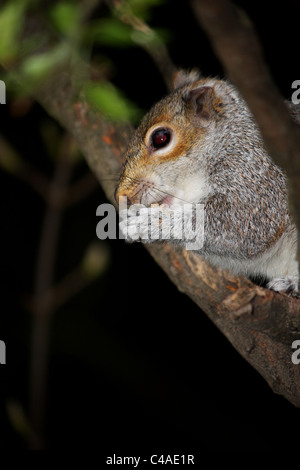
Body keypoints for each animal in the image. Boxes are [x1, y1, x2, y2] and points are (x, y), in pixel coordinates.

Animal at [114, 69, 298, 294]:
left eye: (160, 138)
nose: (121, 196)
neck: (229, 139)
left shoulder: (259, 175)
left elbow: (242, 224)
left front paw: (151, 222)